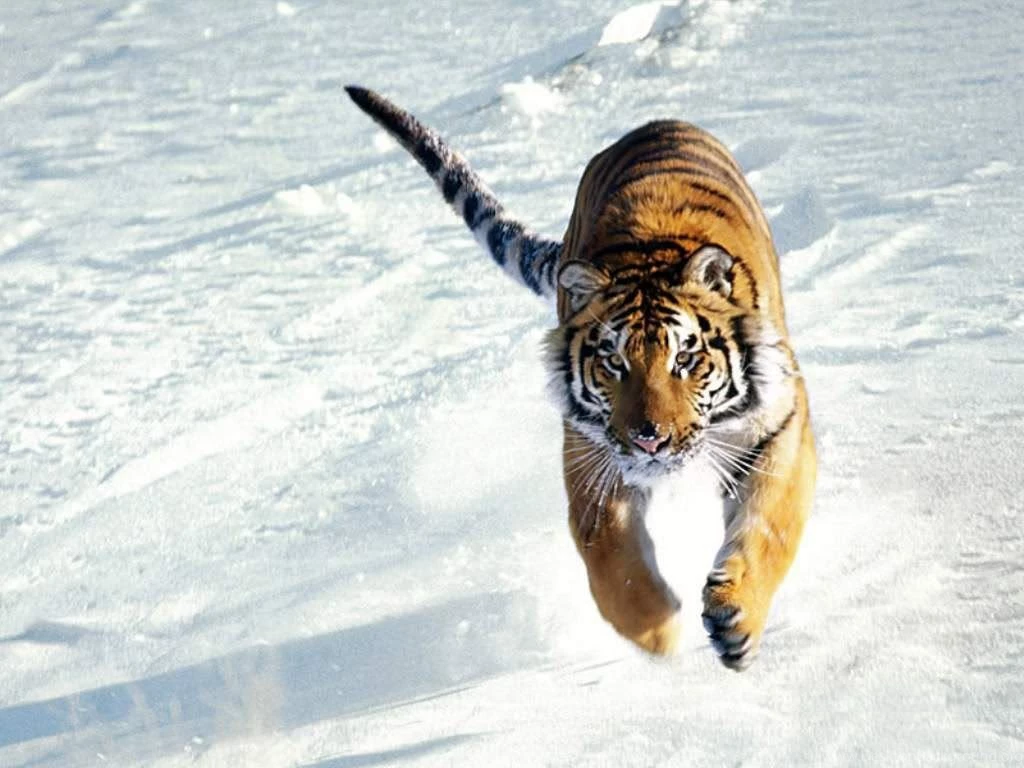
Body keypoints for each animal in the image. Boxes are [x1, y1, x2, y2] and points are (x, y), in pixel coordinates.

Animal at [346, 85, 816, 671]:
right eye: (614, 363)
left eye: (685, 359)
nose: (650, 439)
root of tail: (654, 123)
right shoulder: (591, 453)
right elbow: (611, 561)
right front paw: (658, 632)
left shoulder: (778, 426)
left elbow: (769, 527)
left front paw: (736, 620)